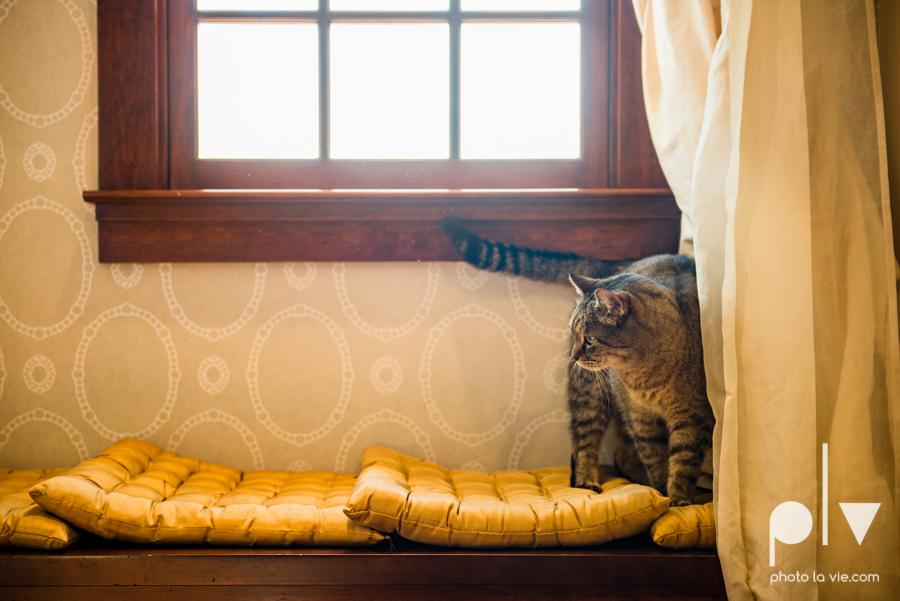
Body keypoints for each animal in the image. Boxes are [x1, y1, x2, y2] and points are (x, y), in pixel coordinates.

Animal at [442, 218, 712, 504]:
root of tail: (624, 264)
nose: (573, 355)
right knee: (585, 441)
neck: (643, 376)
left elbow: (683, 464)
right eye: (574, 333)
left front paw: (679, 500)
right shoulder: (640, 419)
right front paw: (664, 495)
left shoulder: (693, 419)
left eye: (590, 339)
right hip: (590, 393)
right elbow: (656, 459)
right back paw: (587, 479)